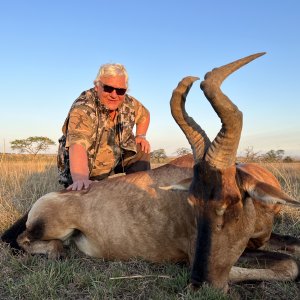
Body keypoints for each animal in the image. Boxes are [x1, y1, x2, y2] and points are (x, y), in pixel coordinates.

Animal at [1, 52, 300, 292]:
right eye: (192, 203)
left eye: (231, 202)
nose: (199, 285)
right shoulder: (196, 252)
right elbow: (290, 265)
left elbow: (292, 249)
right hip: (52, 229)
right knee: (28, 240)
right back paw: (59, 251)